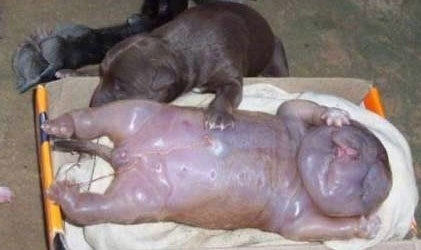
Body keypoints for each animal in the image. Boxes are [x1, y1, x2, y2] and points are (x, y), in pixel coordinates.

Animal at [91, 1, 288, 130]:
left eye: (121, 87)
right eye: (101, 75)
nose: (92, 105)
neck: (176, 51)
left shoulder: (229, 74)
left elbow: (229, 92)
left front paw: (218, 115)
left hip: (275, 54)